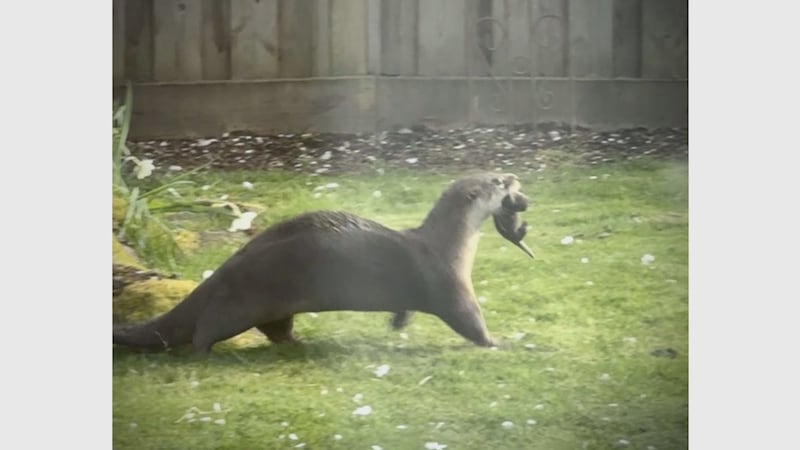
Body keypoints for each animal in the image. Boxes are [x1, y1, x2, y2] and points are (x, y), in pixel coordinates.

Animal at [113, 172, 534, 354]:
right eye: (498, 182)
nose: (513, 176)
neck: (446, 246)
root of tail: (225, 269)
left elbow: (404, 309)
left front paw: (397, 324)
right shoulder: (449, 285)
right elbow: (470, 322)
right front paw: (500, 342)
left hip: (273, 304)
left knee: (276, 329)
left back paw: (300, 341)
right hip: (239, 301)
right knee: (207, 328)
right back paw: (204, 352)